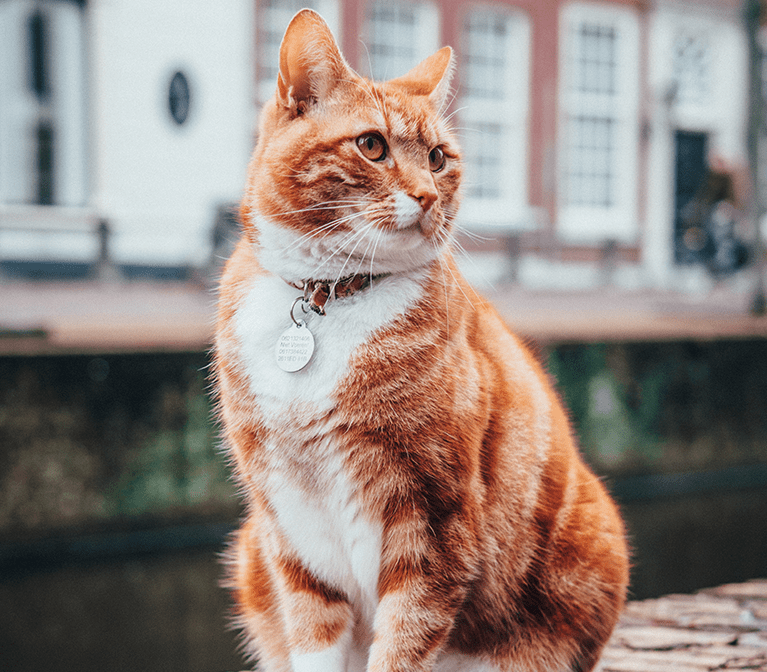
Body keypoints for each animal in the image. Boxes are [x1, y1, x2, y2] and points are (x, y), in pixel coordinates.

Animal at [214, 9, 632, 672]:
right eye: (372, 145)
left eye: (438, 157)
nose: (429, 195)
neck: (328, 297)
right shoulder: (291, 526)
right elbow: (314, 633)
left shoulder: (432, 519)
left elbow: (404, 639)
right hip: (253, 550)